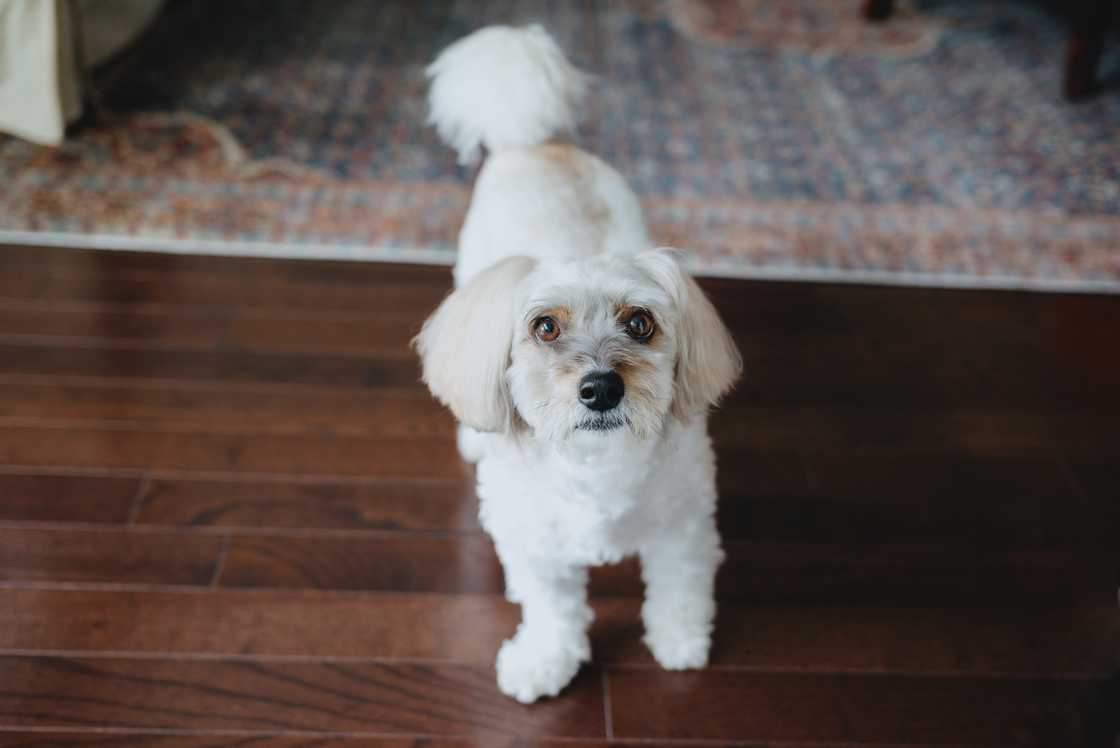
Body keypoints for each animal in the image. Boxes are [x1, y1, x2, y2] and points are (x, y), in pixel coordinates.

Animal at [416, 21, 739, 703]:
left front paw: (680, 644)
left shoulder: (685, 527)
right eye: (544, 327)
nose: (601, 388)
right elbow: (553, 611)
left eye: (640, 323)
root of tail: (535, 141)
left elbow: (679, 590)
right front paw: (544, 663)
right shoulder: (540, 549)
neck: (595, 463)